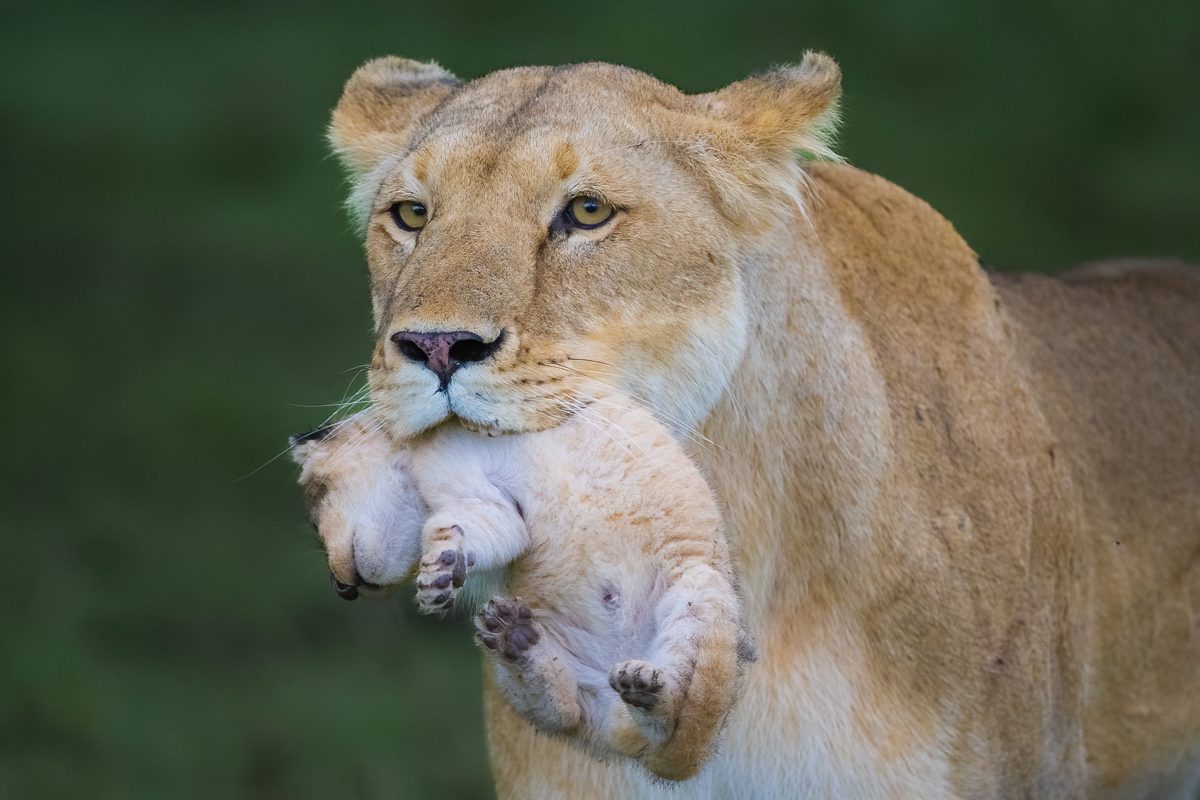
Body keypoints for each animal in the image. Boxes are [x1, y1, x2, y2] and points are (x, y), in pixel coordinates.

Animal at [291, 394, 747, 780]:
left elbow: (449, 526)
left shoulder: (476, 486)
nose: (341, 589)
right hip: (525, 680)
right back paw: (517, 638)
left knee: (669, 720)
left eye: (314, 508)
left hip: (699, 593)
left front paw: (436, 576)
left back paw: (646, 688)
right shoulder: (491, 507)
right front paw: (442, 575)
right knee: (566, 711)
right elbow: (473, 528)